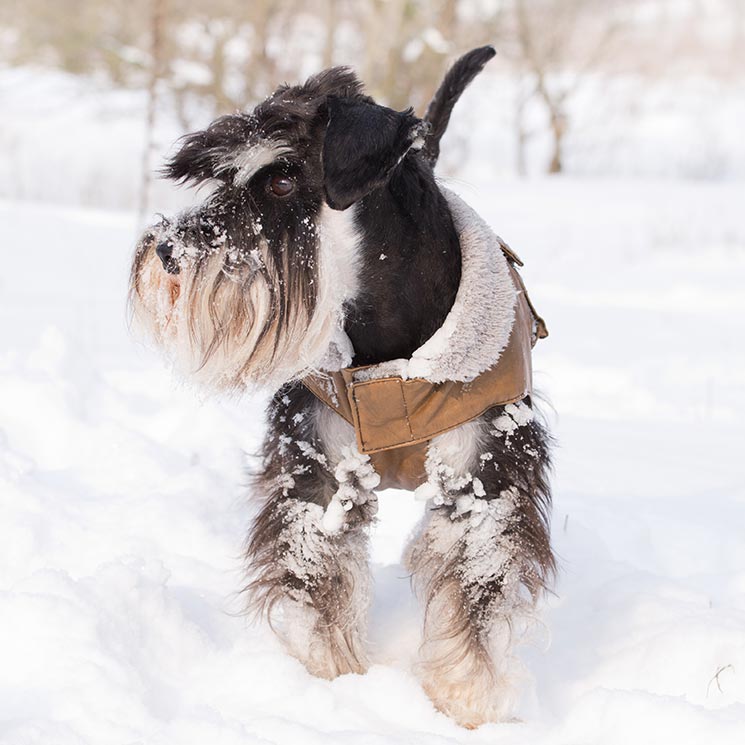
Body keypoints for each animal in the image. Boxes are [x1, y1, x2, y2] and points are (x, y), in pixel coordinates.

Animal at [131, 46, 556, 728]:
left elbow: (473, 599)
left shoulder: (483, 480)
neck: (386, 344)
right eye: (222, 180)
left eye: (281, 181)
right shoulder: (320, 472)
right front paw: (327, 680)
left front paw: (466, 703)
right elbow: (319, 584)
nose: (167, 253)